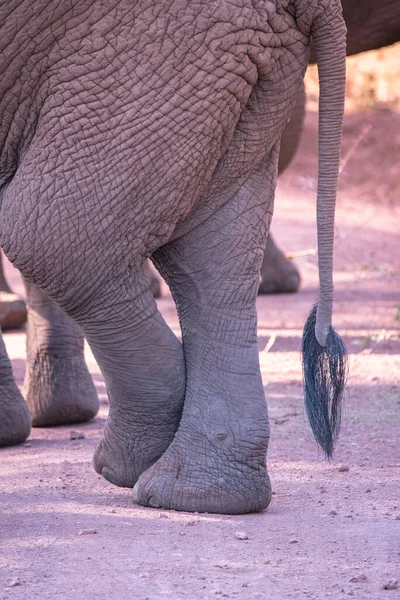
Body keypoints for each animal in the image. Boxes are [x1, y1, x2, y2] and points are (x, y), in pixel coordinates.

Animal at [0, 1, 346, 516]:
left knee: (45, 235)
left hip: (148, 54)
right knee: (207, 258)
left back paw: (135, 465)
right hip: (227, 60)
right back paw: (199, 495)